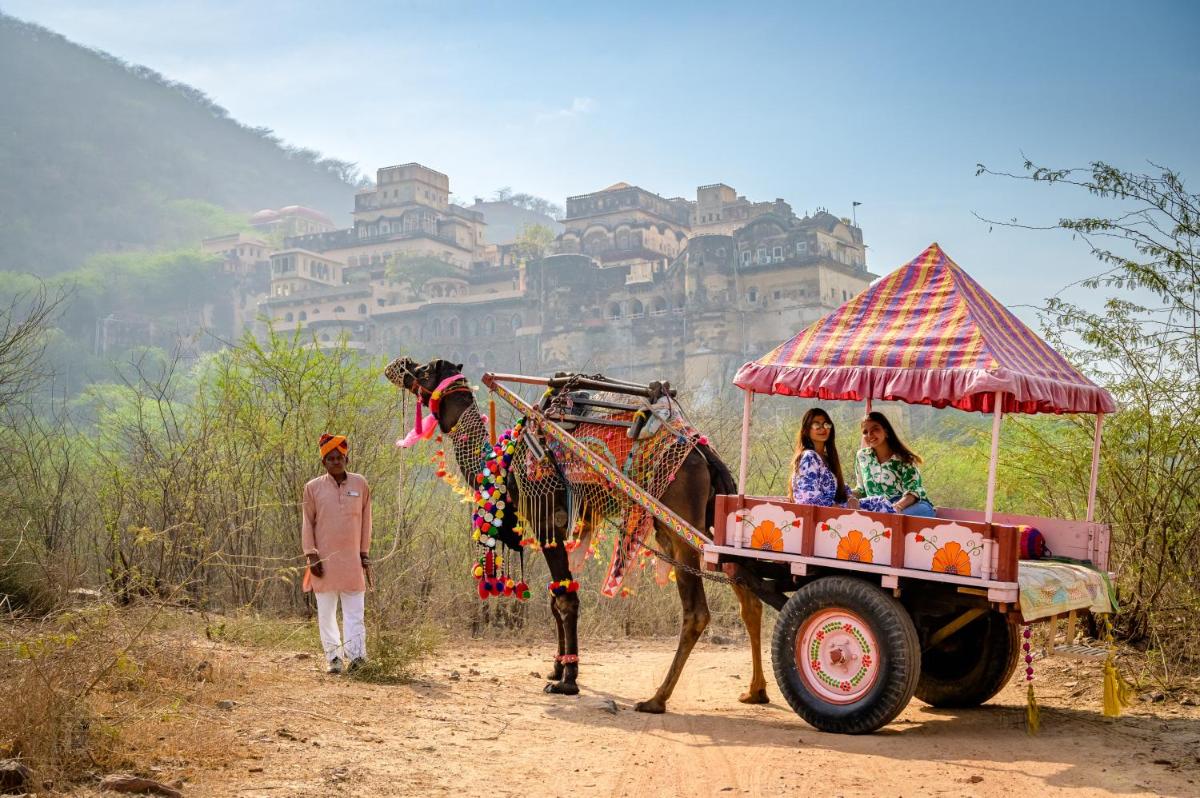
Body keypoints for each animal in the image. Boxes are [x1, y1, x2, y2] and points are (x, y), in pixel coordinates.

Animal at [387, 356, 773, 713]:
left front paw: (568, 682)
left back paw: (656, 699)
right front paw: (556, 669)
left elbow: (564, 599)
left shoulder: (545, 520)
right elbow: (556, 594)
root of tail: (706, 453)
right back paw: (755, 691)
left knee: (696, 612)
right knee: (748, 594)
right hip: (704, 525)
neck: (502, 463)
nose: (397, 365)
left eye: (424, 370)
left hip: (678, 522)